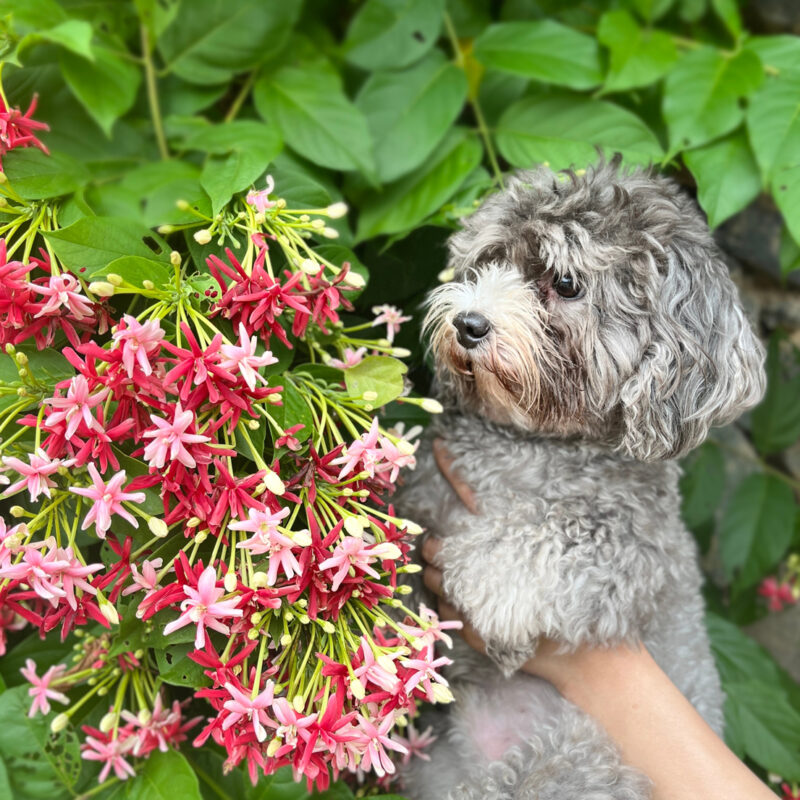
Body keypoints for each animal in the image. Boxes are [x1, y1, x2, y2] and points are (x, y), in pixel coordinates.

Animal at [396, 162, 764, 800]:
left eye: (565, 283)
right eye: (488, 262)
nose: (469, 323)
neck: (533, 444)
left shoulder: (642, 553)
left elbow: (571, 528)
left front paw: (487, 581)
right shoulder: (426, 487)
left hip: (576, 765)